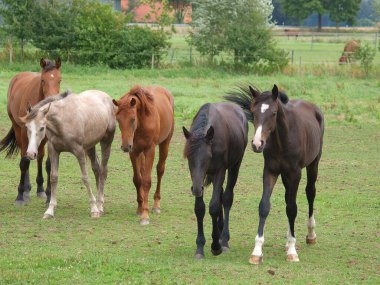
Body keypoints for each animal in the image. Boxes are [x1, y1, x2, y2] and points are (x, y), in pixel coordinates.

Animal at [0, 57, 61, 204]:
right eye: (43, 80)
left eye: (59, 80)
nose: (52, 101)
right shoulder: (24, 132)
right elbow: (24, 162)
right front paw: (20, 196)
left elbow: (49, 164)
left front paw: (49, 195)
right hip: (18, 130)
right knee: (25, 155)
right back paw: (26, 190)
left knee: (39, 156)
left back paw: (40, 189)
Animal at [20, 90, 116, 219]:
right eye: (27, 127)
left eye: (42, 128)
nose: (31, 154)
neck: (63, 121)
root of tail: (106, 97)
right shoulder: (53, 150)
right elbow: (53, 177)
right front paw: (50, 210)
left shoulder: (79, 151)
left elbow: (85, 178)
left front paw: (94, 209)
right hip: (90, 146)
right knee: (97, 169)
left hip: (106, 141)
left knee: (104, 171)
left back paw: (100, 205)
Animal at [111, 84, 174, 224]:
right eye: (117, 119)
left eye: (133, 119)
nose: (125, 147)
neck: (143, 122)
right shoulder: (134, 151)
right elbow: (137, 179)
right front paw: (140, 208)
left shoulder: (150, 150)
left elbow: (146, 181)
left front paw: (145, 215)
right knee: (143, 170)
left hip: (165, 144)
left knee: (160, 170)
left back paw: (156, 205)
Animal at [183, 102, 248, 258]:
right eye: (188, 157)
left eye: (207, 156)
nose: (196, 189)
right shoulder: (198, 179)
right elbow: (200, 208)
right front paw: (200, 247)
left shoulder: (219, 171)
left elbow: (214, 206)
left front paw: (215, 246)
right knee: (221, 195)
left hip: (235, 166)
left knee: (227, 198)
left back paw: (224, 239)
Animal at [224, 85, 326, 264]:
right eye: (253, 112)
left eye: (273, 113)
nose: (257, 144)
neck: (282, 141)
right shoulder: (270, 172)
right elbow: (265, 206)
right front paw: (257, 252)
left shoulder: (295, 174)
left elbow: (292, 208)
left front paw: (292, 251)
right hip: (285, 175)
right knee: (288, 198)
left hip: (313, 163)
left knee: (310, 192)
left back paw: (310, 235)